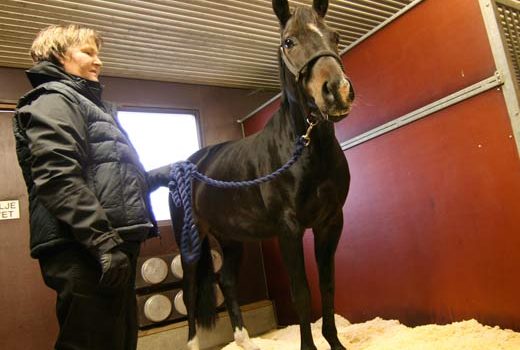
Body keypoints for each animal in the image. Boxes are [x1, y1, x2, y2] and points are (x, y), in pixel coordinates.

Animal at [167, 0, 354, 350]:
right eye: (288, 42)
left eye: (335, 36)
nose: (338, 91)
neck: (305, 149)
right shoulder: (288, 229)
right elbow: (301, 294)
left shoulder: (331, 222)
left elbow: (329, 286)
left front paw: (335, 343)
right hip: (191, 241)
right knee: (189, 293)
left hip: (231, 238)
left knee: (226, 280)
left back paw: (245, 340)